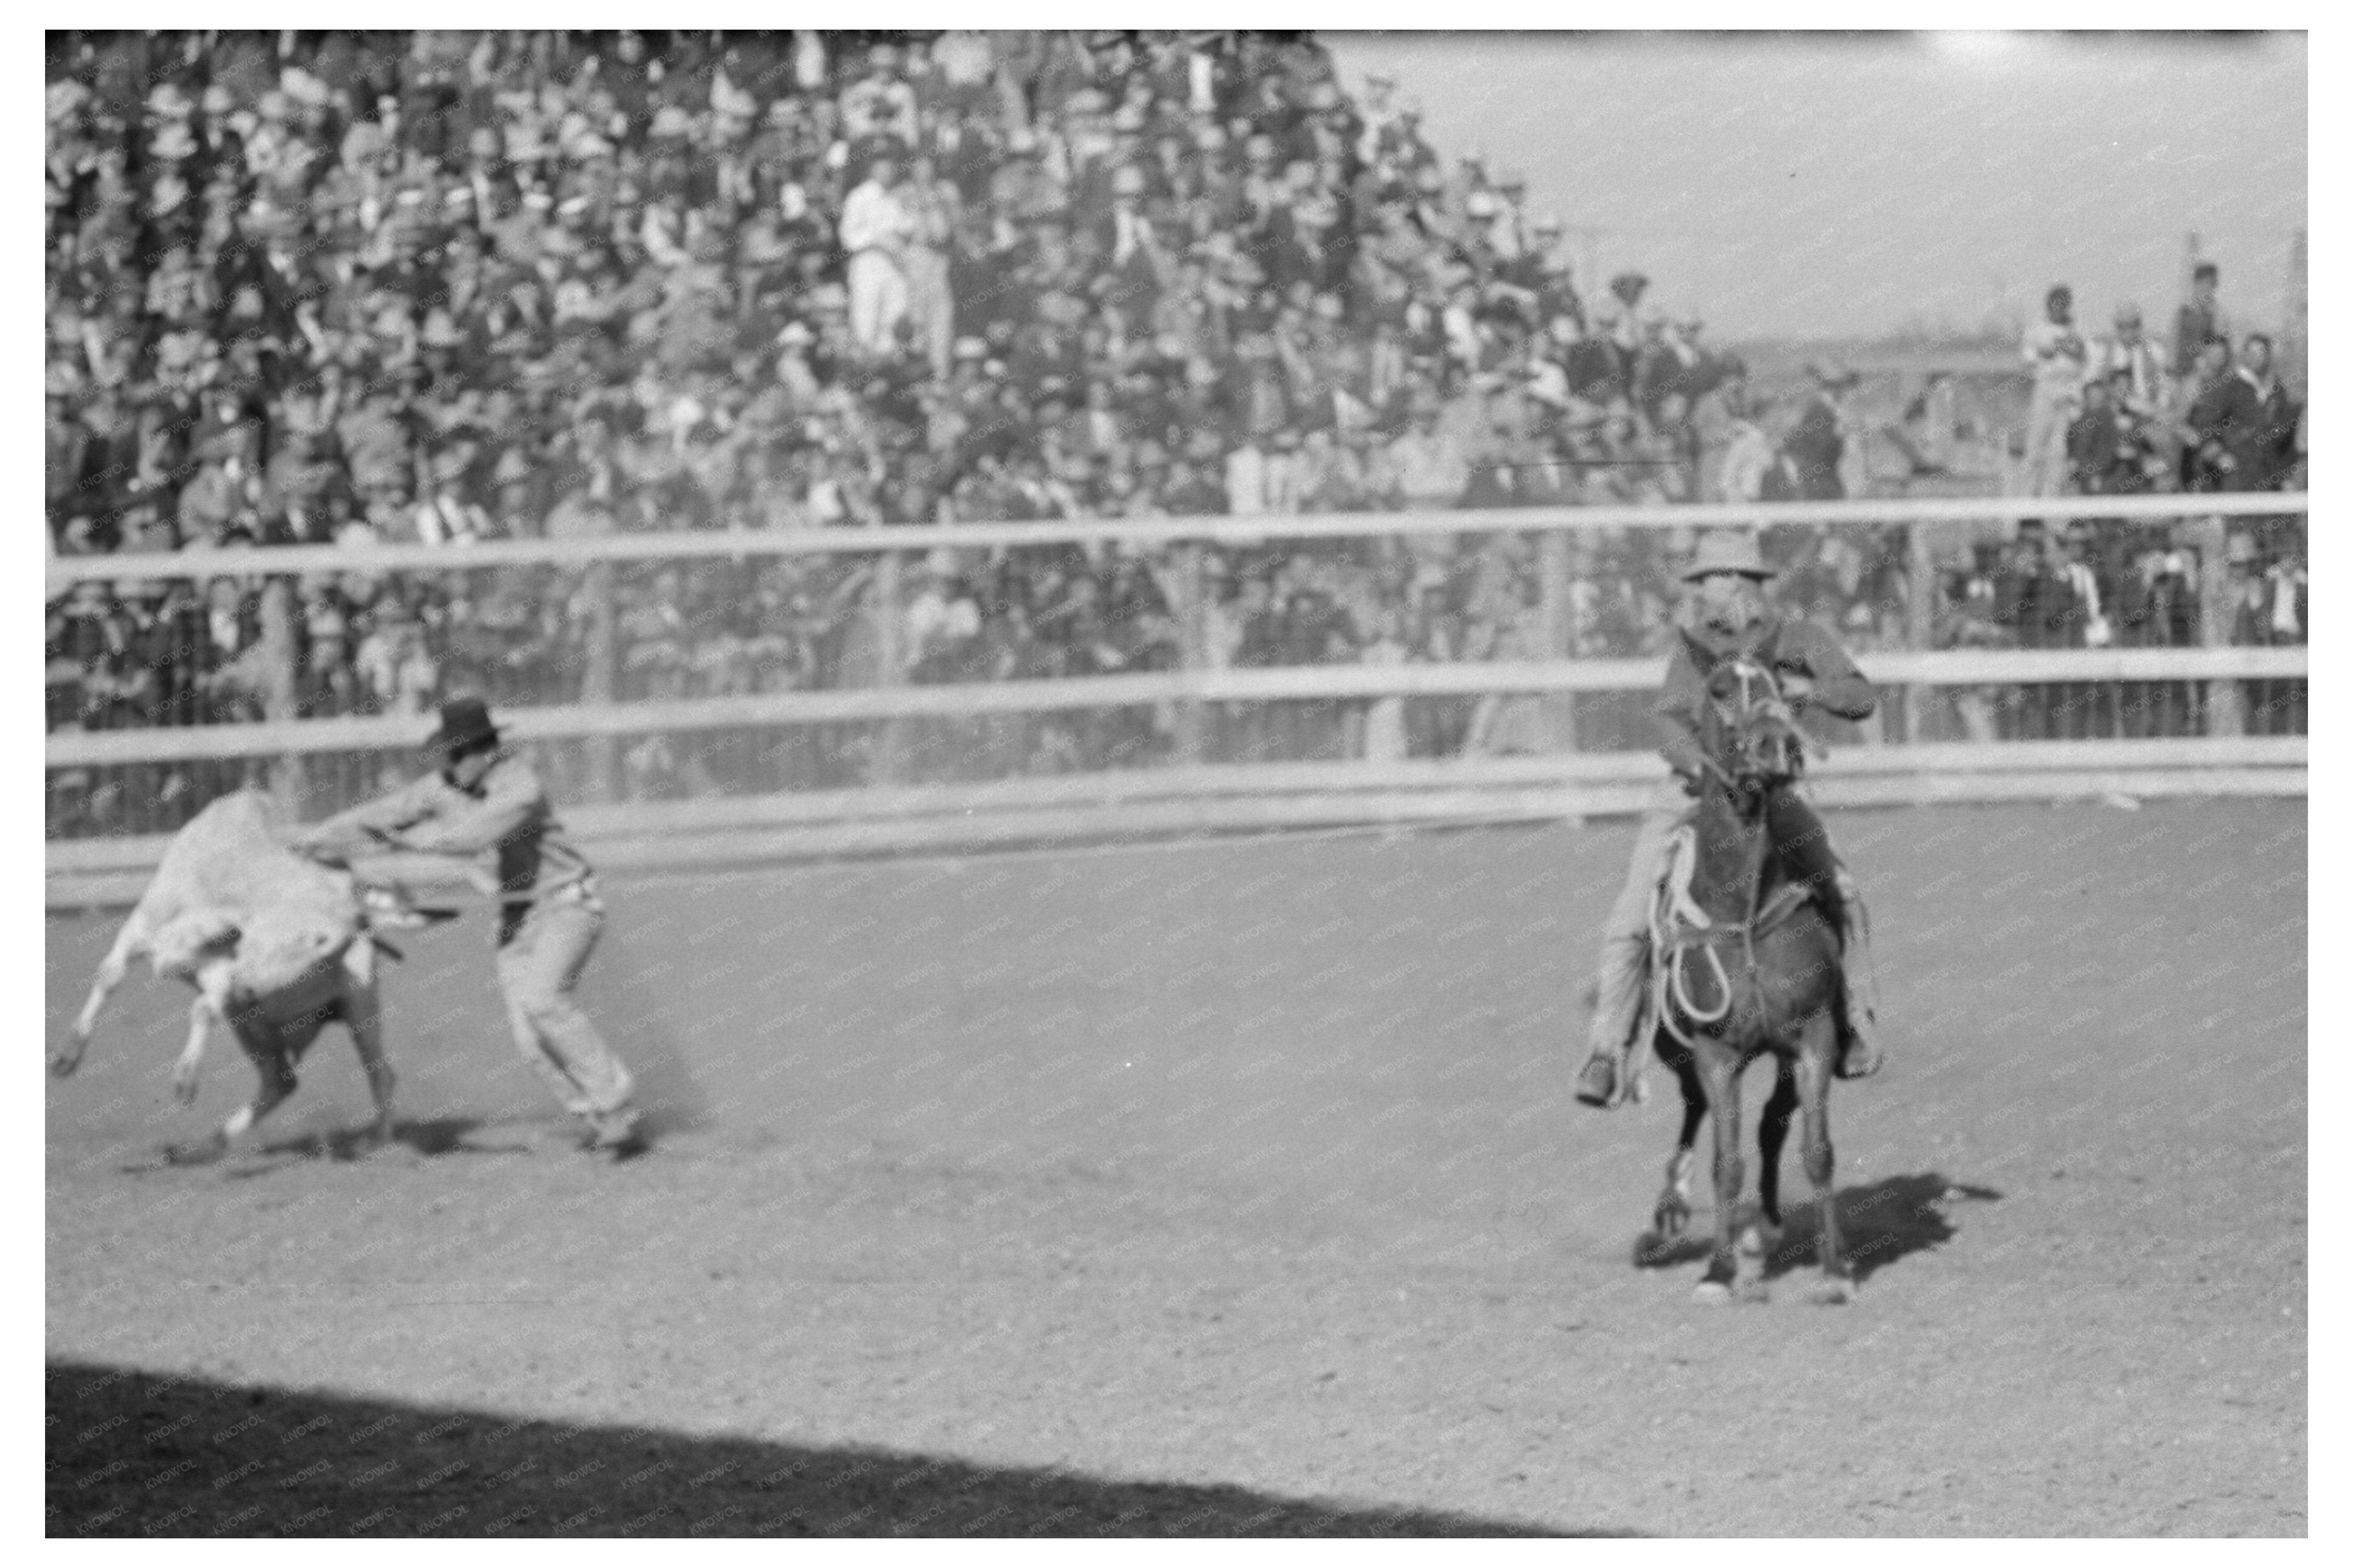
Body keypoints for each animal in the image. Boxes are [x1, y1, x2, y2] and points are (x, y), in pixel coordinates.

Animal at [1637, 631, 1854, 1300]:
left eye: (1779, 687)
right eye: (1717, 689)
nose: (1776, 744)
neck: (1744, 904)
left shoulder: (1813, 1035)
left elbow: (1816, 1149)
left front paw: (1835, 1270)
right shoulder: (1715, 1051)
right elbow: (1725, 1162)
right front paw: (1717, 1270)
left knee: (1772, 1123)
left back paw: (1765, 1228)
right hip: (1679, 1052)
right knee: (1695, 1115)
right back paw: (1671, 1215)